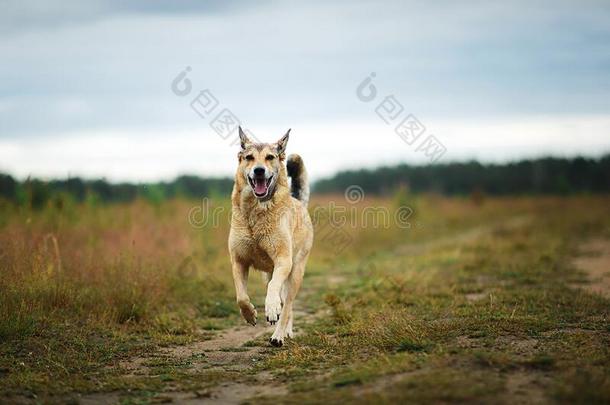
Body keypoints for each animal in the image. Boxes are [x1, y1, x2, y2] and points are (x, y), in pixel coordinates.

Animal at [228, 128, 314, 346]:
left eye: (270, 157)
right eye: (249, 157)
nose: (259, 170)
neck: (256, 211)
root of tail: (298, 202)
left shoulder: (283, 260)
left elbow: (276, 295)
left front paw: (272, 310)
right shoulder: (238, 261)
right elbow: (241, 296)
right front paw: (250, 314)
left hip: (295, 272)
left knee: (287, 303)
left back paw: (278, 335)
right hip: (269, 273)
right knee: (284, 302)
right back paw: (284, 330)